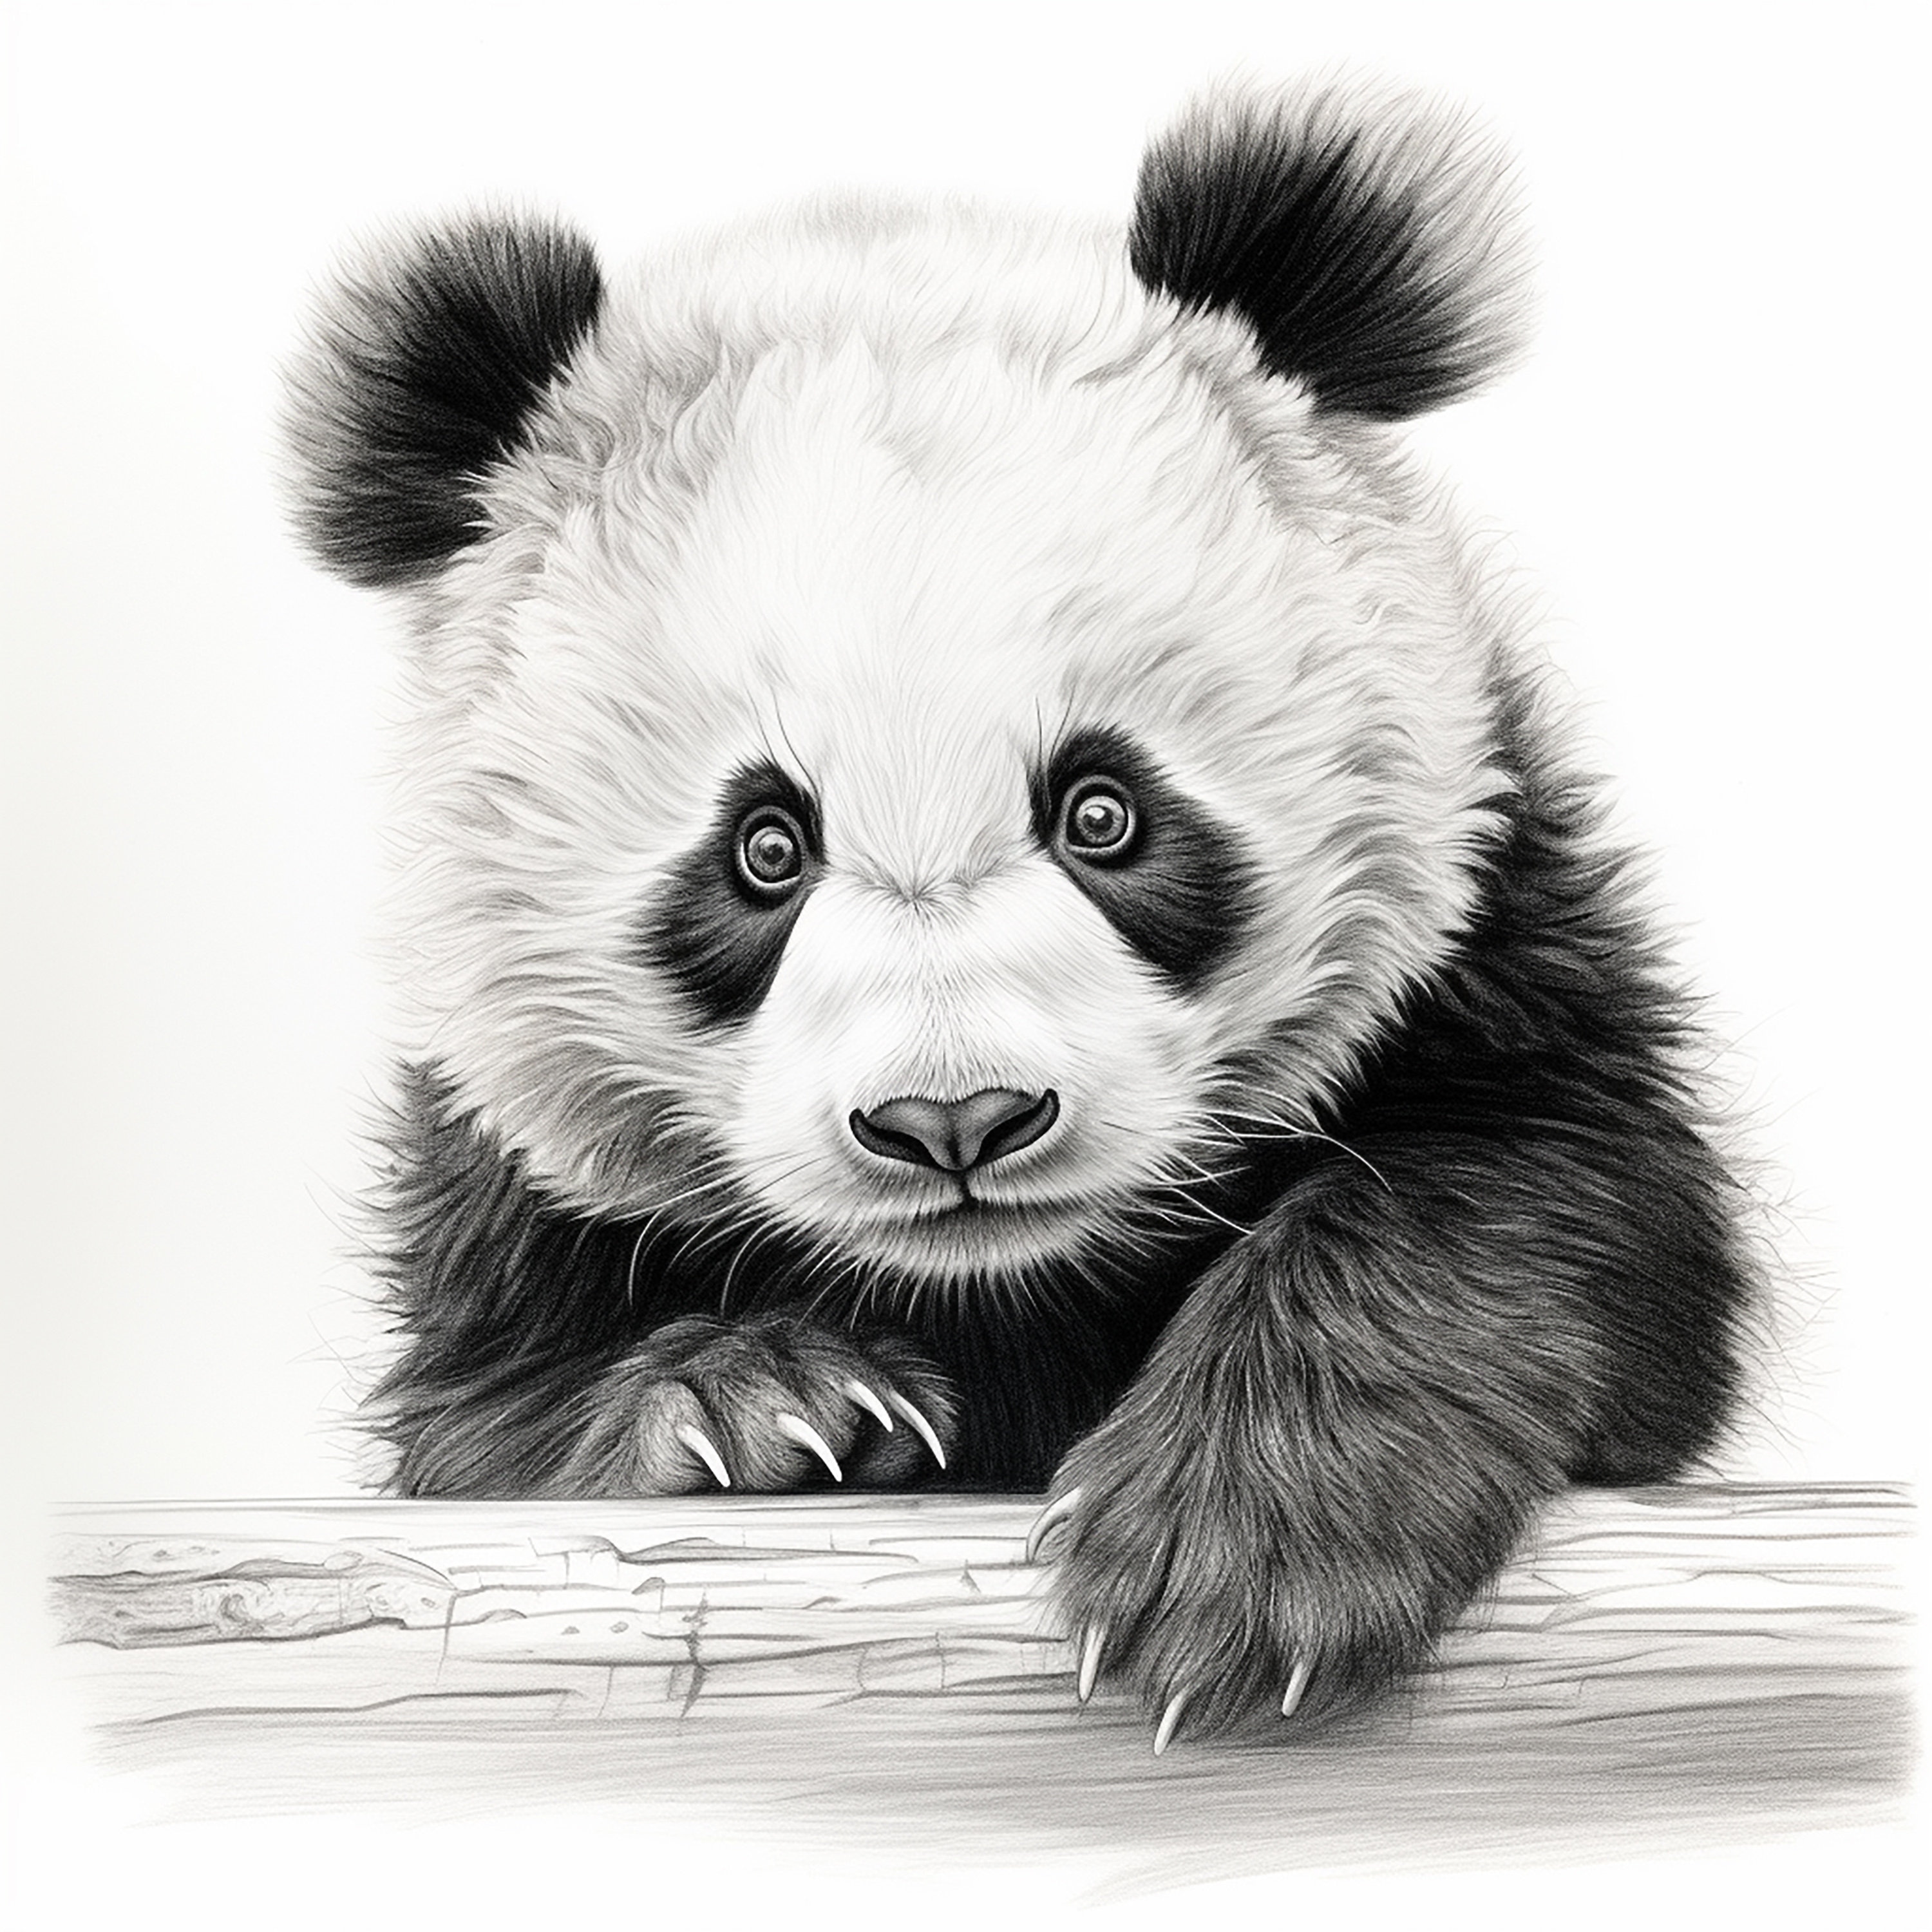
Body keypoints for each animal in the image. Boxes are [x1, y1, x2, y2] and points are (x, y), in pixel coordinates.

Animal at [283, 82, 1752, 1752]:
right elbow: (475, 1424)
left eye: (1102, 813)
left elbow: (1538, 1189)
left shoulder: (1488, 930)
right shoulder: (510, 1174)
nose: (957, 1121)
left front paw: (1232, 1553)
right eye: (765, 850)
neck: (1000, 1287)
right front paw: (756, 1406)